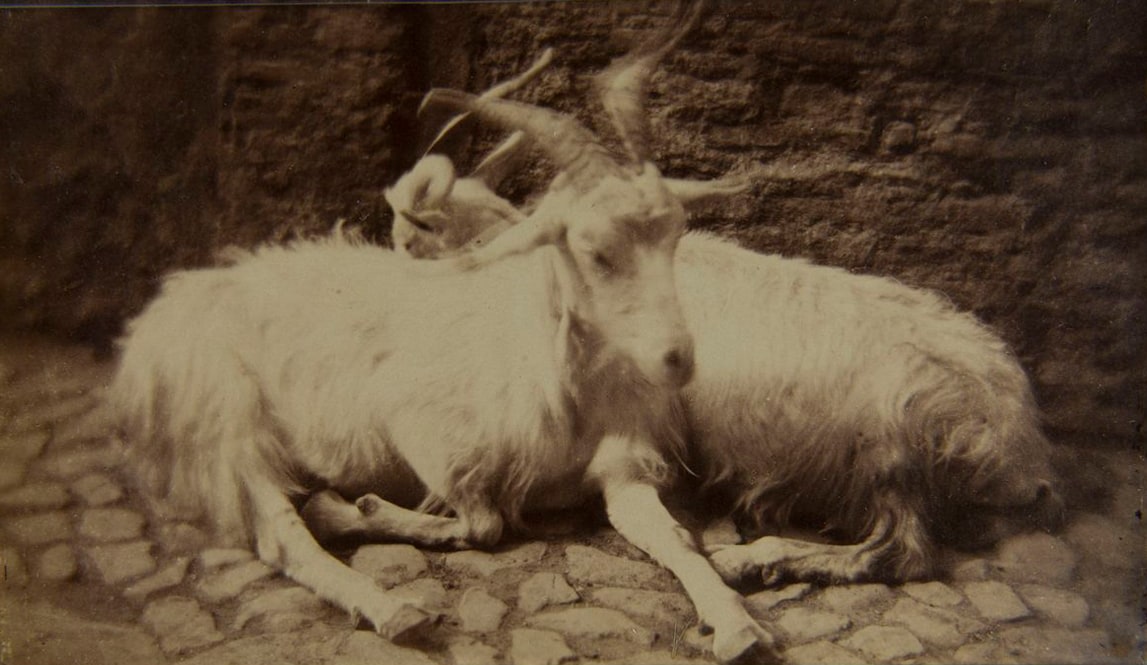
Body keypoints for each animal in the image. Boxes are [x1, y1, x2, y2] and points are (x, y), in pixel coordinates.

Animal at [109, 7, 770, 660]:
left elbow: (678, 539)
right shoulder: (422, 430)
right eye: (594, 250)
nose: (678, 358)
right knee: (279, 533)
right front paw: (369, 512)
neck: (548, 370)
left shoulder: (624, 470)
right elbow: (485, 523)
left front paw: (735, 622)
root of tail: (168, 307)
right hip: (229, 424)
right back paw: (392, 607)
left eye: (675, 234)